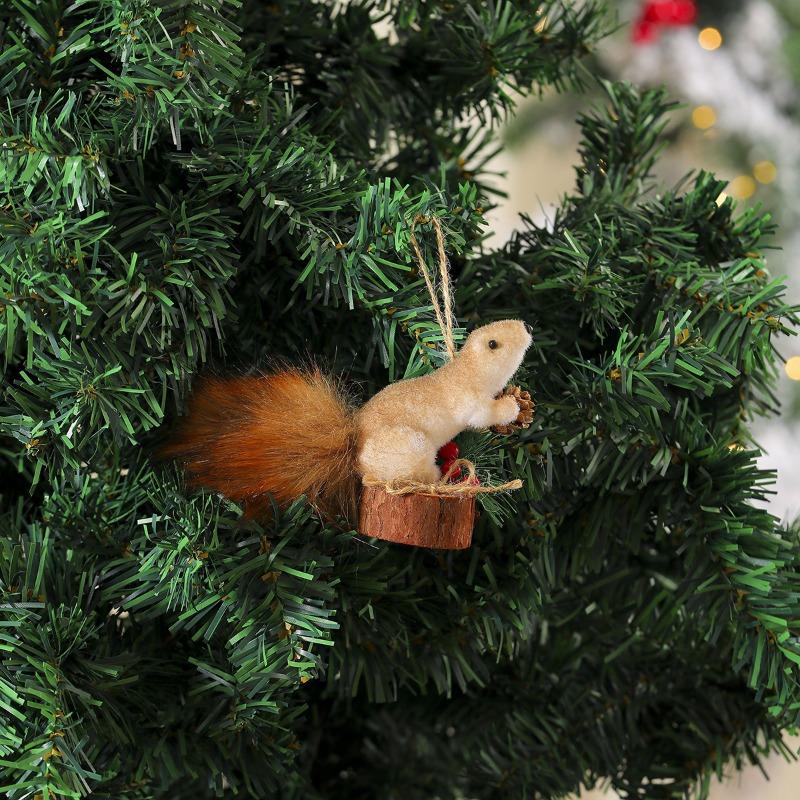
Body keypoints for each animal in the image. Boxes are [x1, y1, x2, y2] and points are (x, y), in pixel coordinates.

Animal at [161, 319, 532, 521]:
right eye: (494, 344)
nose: (527, 327)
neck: (464, 372)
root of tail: (353, 442)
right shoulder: (466, 400)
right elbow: (482, 414)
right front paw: (511, 407)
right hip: (409, 446)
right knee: (415, 476)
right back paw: (442, 477)